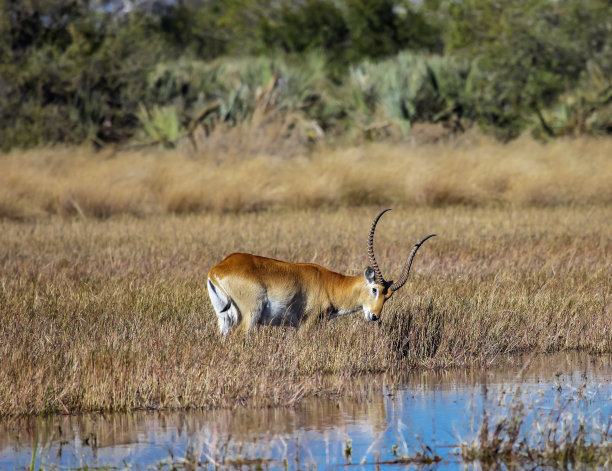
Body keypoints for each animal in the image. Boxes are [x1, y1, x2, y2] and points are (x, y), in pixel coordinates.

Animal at [208, 209, 438, 336]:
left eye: (388, 296)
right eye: (374, 289)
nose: (374, 316)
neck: (330, 285)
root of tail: (218, 268)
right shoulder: (307, 324)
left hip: (224, 319)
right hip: (250, 316)